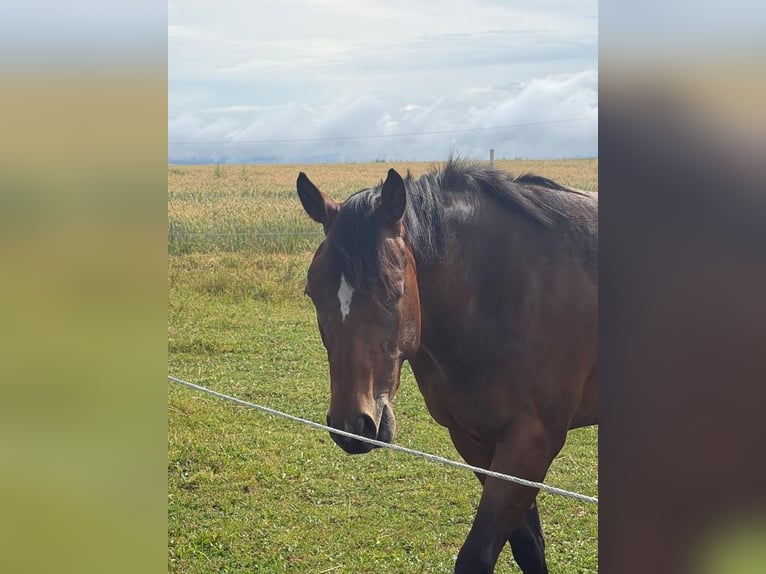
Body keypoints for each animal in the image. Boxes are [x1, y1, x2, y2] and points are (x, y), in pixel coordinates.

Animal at [296, 159, 597, 574]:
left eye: (392, 290)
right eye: (312, 292)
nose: (353, 427)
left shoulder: (533, 442)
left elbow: (477, 555)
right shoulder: (475, 440)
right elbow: (528, 546)